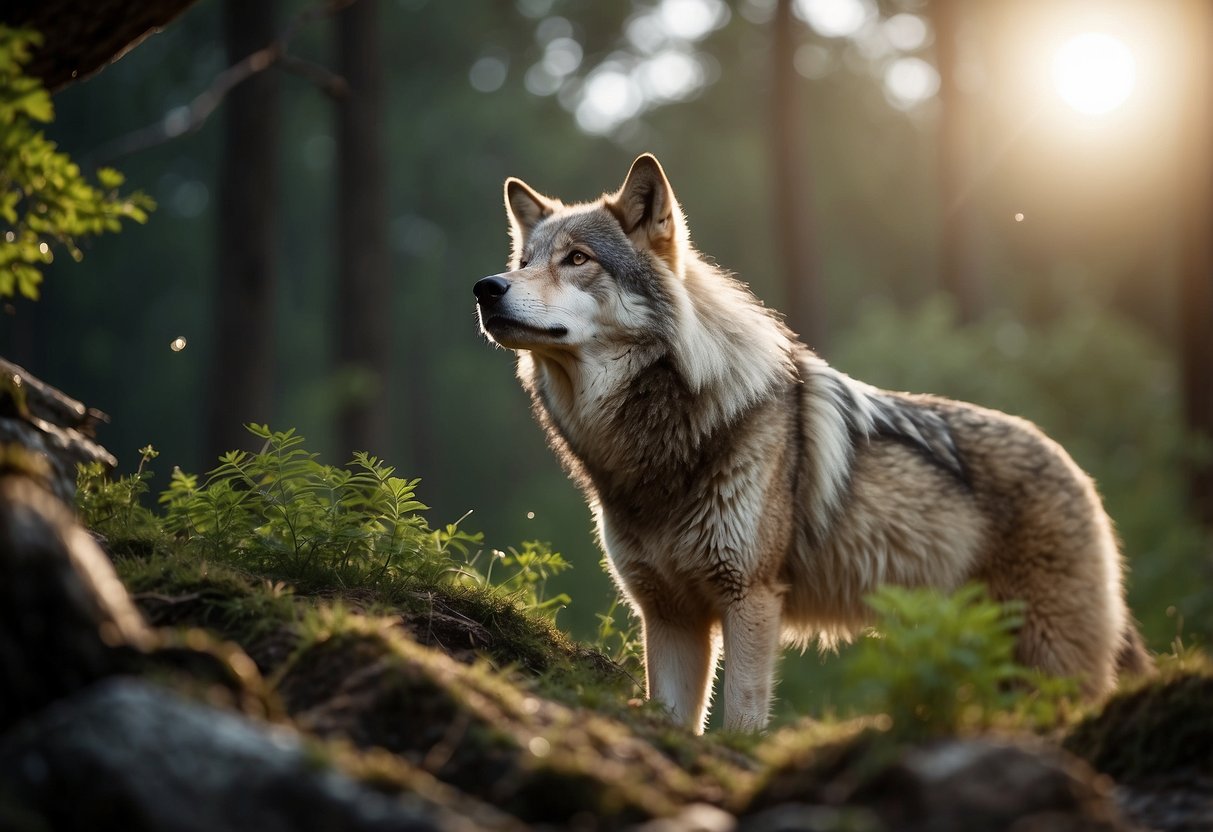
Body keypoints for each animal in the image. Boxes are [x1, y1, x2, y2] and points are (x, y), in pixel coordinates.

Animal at [470, 153, 1145, 732]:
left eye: (577, 259)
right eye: (525, 260)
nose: (487, 287)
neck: (658, 441)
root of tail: (1073, 467)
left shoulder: (750, 598)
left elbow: (740, 722)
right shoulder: (668, 615)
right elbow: (677, 721)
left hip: (1046, 661)